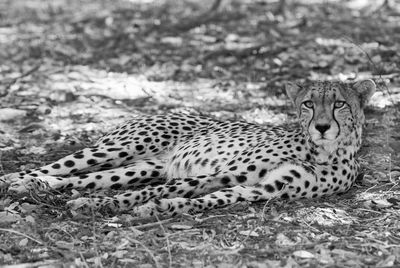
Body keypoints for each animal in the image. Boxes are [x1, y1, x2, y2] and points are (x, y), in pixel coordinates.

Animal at [0, 79, 376, 218]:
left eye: (339, 103)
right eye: (310, 104)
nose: (322, 127)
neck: (323, 151)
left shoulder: (259, 188)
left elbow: (206, 198)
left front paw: (163, 208)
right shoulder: (225, 172)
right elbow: (162, 189)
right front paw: (105, 205)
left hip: (143, 165)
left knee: (84, 178)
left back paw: (37, 187)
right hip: (123, 146)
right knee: (61, 167)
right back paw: (19, 180)